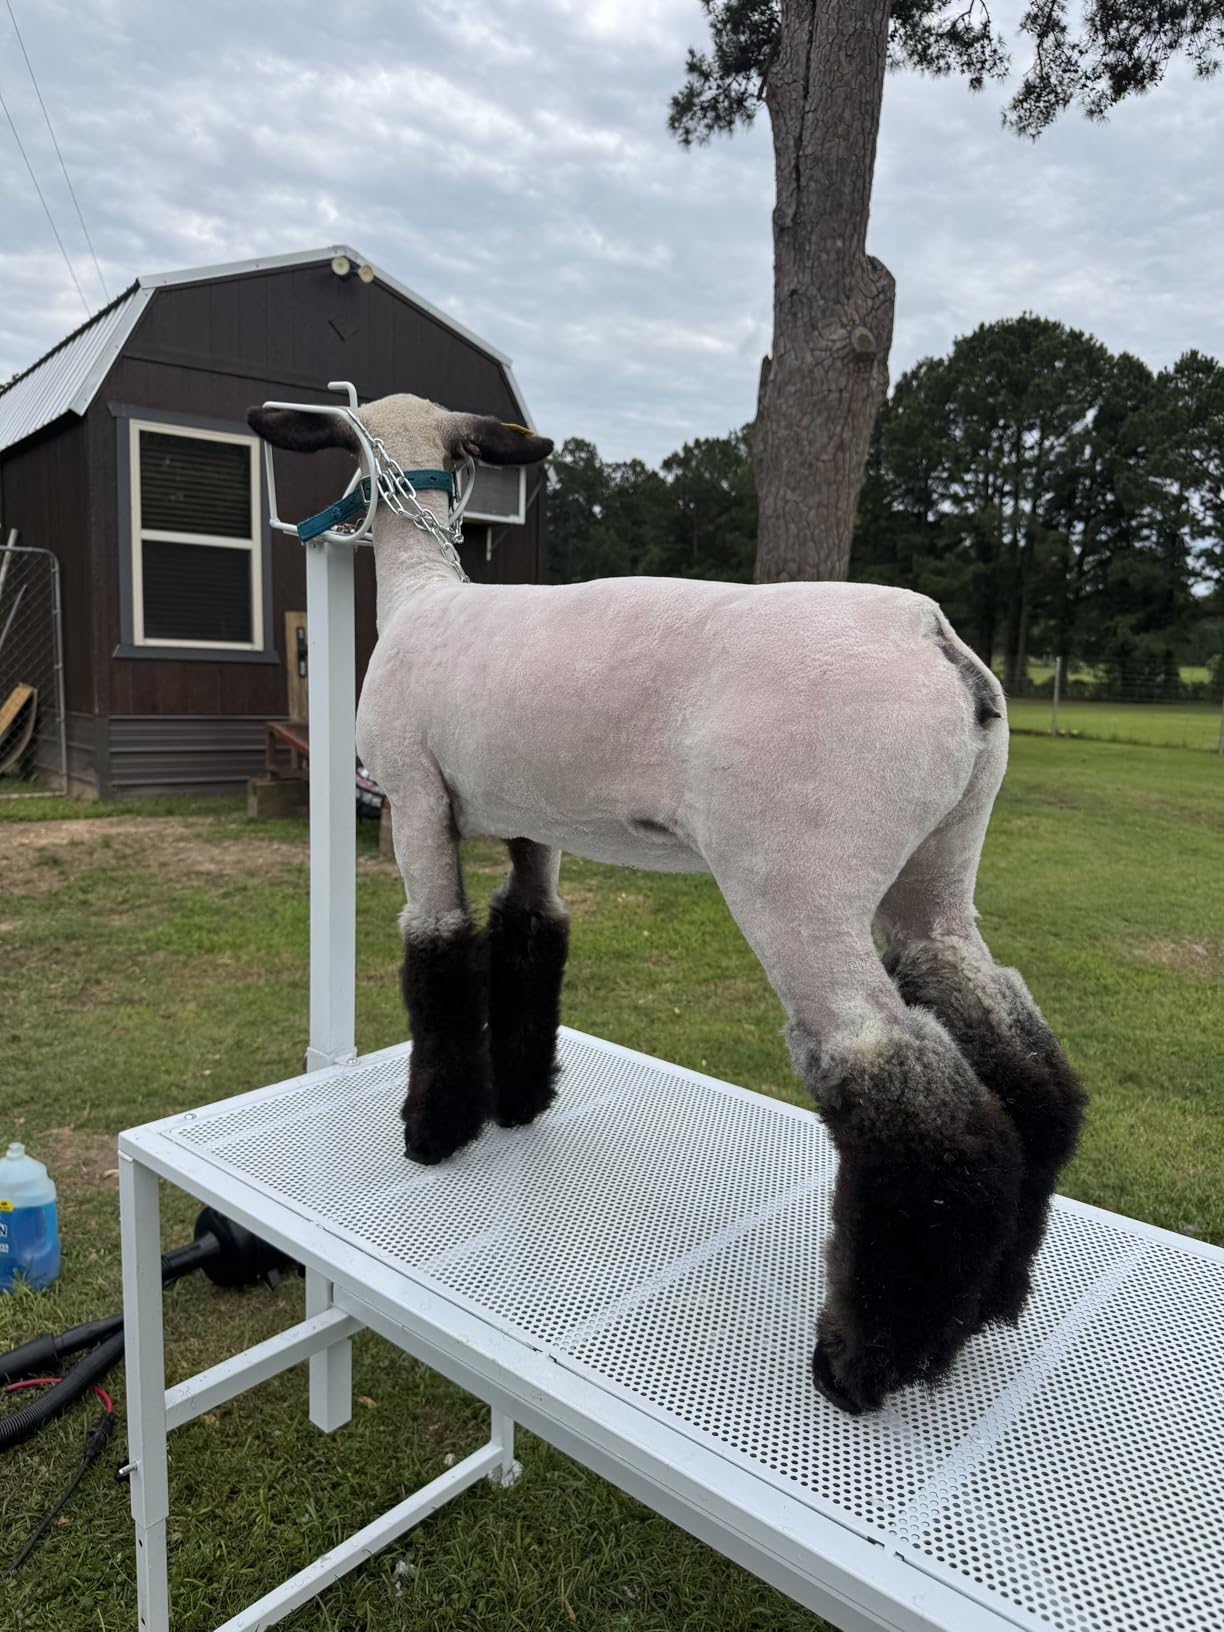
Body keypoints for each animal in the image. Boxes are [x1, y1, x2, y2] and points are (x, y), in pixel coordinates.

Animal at [249, 394, 1085, 1415]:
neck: (421, 597)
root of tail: (939, 642)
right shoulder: (536, 821)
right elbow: (531, 935)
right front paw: (518, 1102)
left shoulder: (413, 800)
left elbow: (437, 950)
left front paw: (435, 1130)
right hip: (940, 866)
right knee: (1010, 1041)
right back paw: (989, 1300)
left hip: (796, 878)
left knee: (910, 1090)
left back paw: (868, 1359)